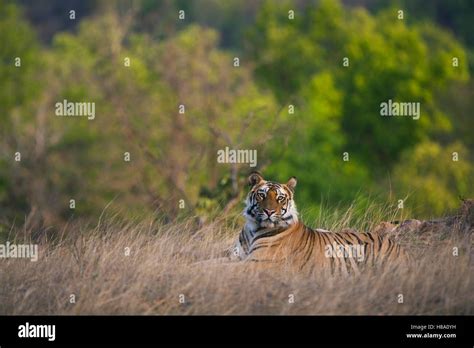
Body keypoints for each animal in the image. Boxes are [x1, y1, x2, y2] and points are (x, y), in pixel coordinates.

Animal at [231, 171, 410, 274]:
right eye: (262, 195)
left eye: (280, 198)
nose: (269, 212)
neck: (253, 228)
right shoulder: (236, 256)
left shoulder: (257, 262)